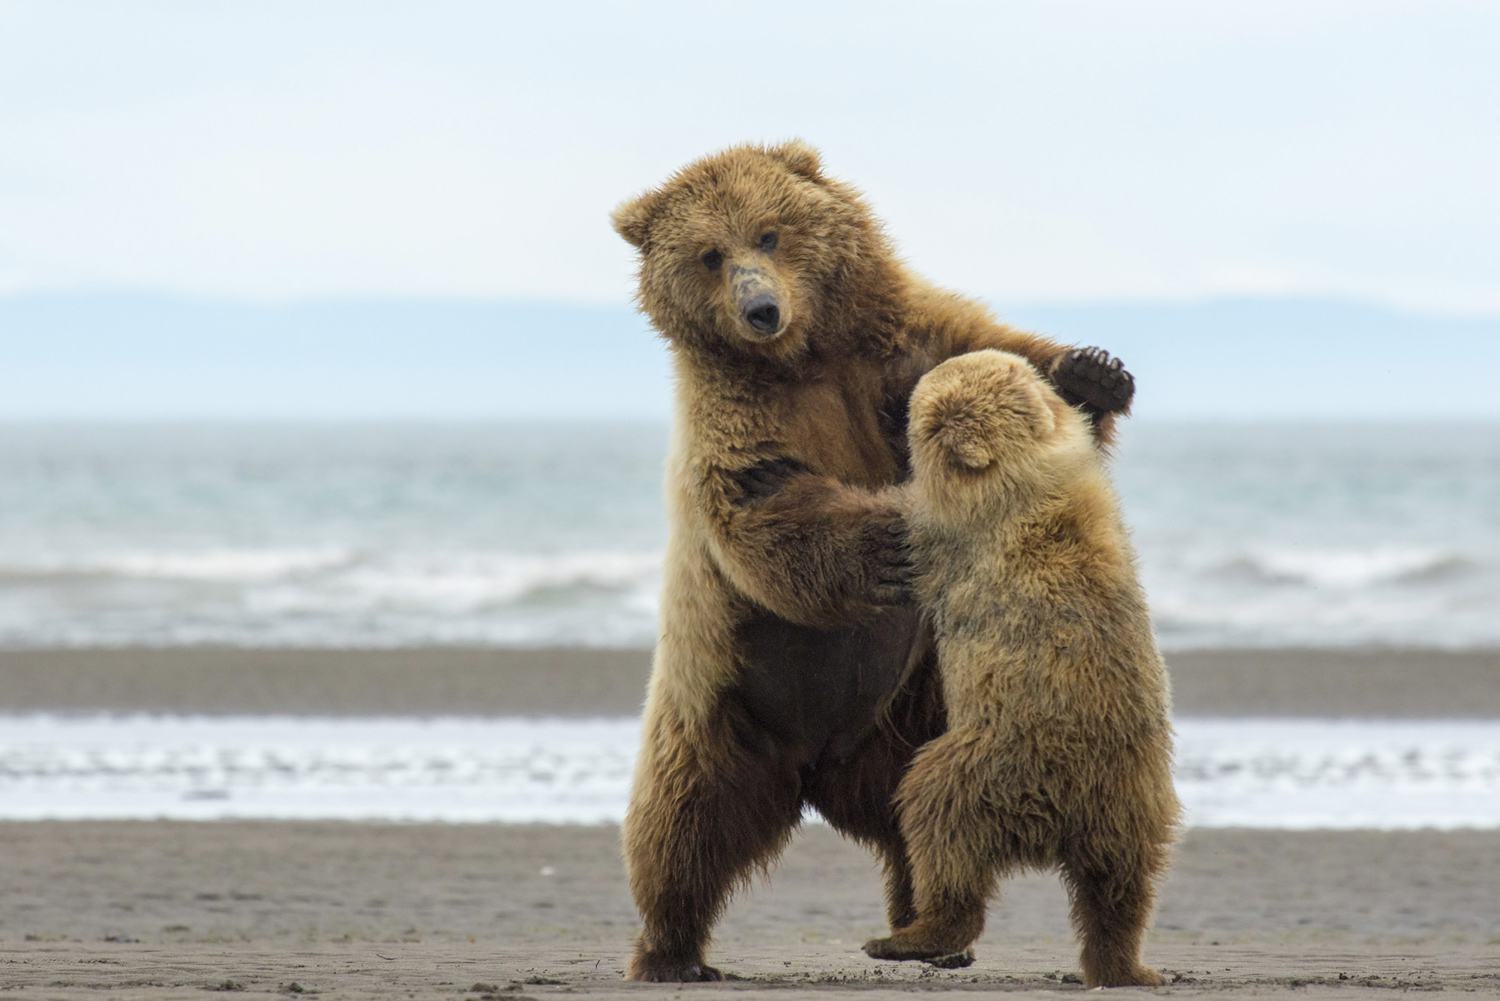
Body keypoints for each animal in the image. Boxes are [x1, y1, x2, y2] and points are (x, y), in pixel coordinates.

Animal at [609, 142, 1134, 984]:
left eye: (770, 232)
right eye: (709, 254)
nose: (761, 309)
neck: (805, 356)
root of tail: (813, 765)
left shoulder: (901, 352)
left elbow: (997, 370)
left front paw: (1093, 370)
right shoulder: (733, 415)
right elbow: (764, 497)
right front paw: (887, 540)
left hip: (906, 713)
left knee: (910, 820)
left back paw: (929, 929)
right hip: (719, 696)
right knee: (679, 822)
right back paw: (671, 950)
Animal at [870, 351, 1182, 984]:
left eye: (924, 395)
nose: (907, 384)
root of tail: (1056, 819)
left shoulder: (946, 532)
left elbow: (900, 519)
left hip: (992, 760)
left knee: (938, 819)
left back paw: (909, 937)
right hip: (1133, 799)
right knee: (1121, 887)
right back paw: (1125, 966)